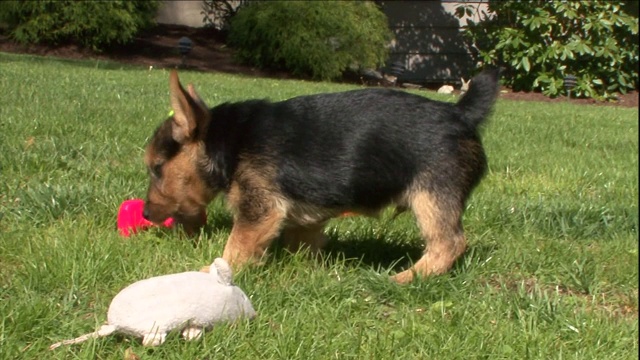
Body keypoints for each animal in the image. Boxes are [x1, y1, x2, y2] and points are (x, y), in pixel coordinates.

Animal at [144, 69, 500, 282]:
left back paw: (405, 278)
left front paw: (210, 273)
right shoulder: (304, 217)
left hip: (432, 196)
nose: (146, 213)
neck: (229, 140)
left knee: (449, 243)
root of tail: (460, 112)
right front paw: (303, 268)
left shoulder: (259, 209)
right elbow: (302, 240)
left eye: (156, 168)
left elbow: (236, 247)